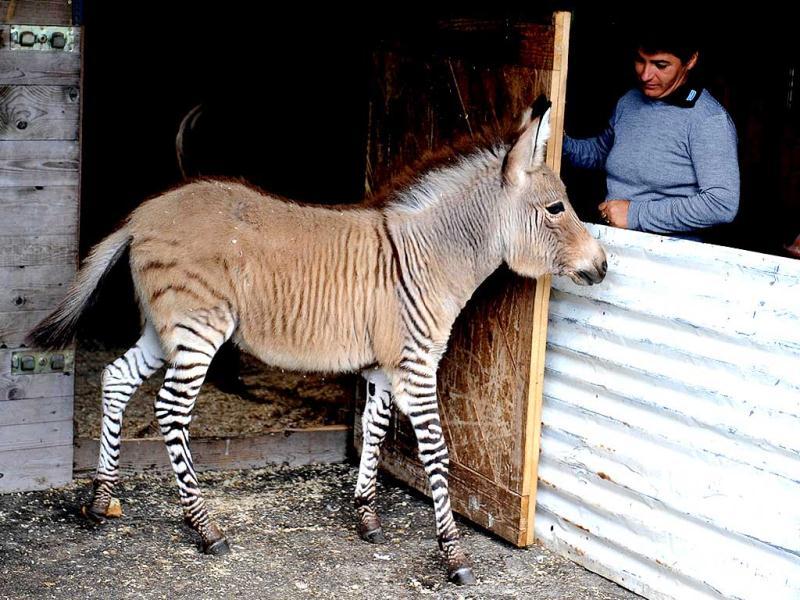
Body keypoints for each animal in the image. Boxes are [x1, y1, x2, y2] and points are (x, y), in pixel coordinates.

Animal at [27, 103, 607, 585]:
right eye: (557, 208)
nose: (603, 266)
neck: (429, 257)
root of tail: (141, 215)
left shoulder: (382, 367)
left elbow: (374, 429)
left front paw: (367, 515)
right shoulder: (416, 365)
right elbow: (436, 452)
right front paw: (454, 555)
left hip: (163, 326)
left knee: (116, 378)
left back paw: (101, 502)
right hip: (197, 327)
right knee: (170, 409)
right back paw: (205, 528)